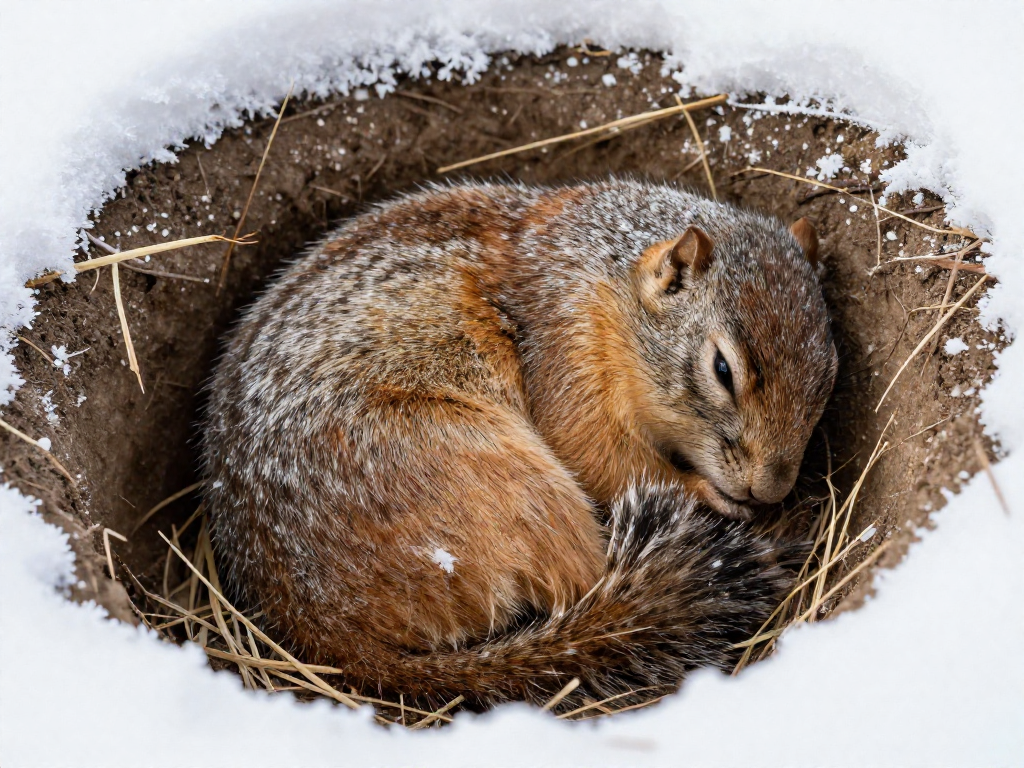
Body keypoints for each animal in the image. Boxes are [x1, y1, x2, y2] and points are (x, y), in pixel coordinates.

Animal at [202, 179, 838, 706]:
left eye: (830, 374)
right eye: (722, 369)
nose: (771, 490)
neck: (604, 273)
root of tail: (319, 627)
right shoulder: (567, 344)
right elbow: (600, 455)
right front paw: (706, 493)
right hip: (502, 479)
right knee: (582, 576)